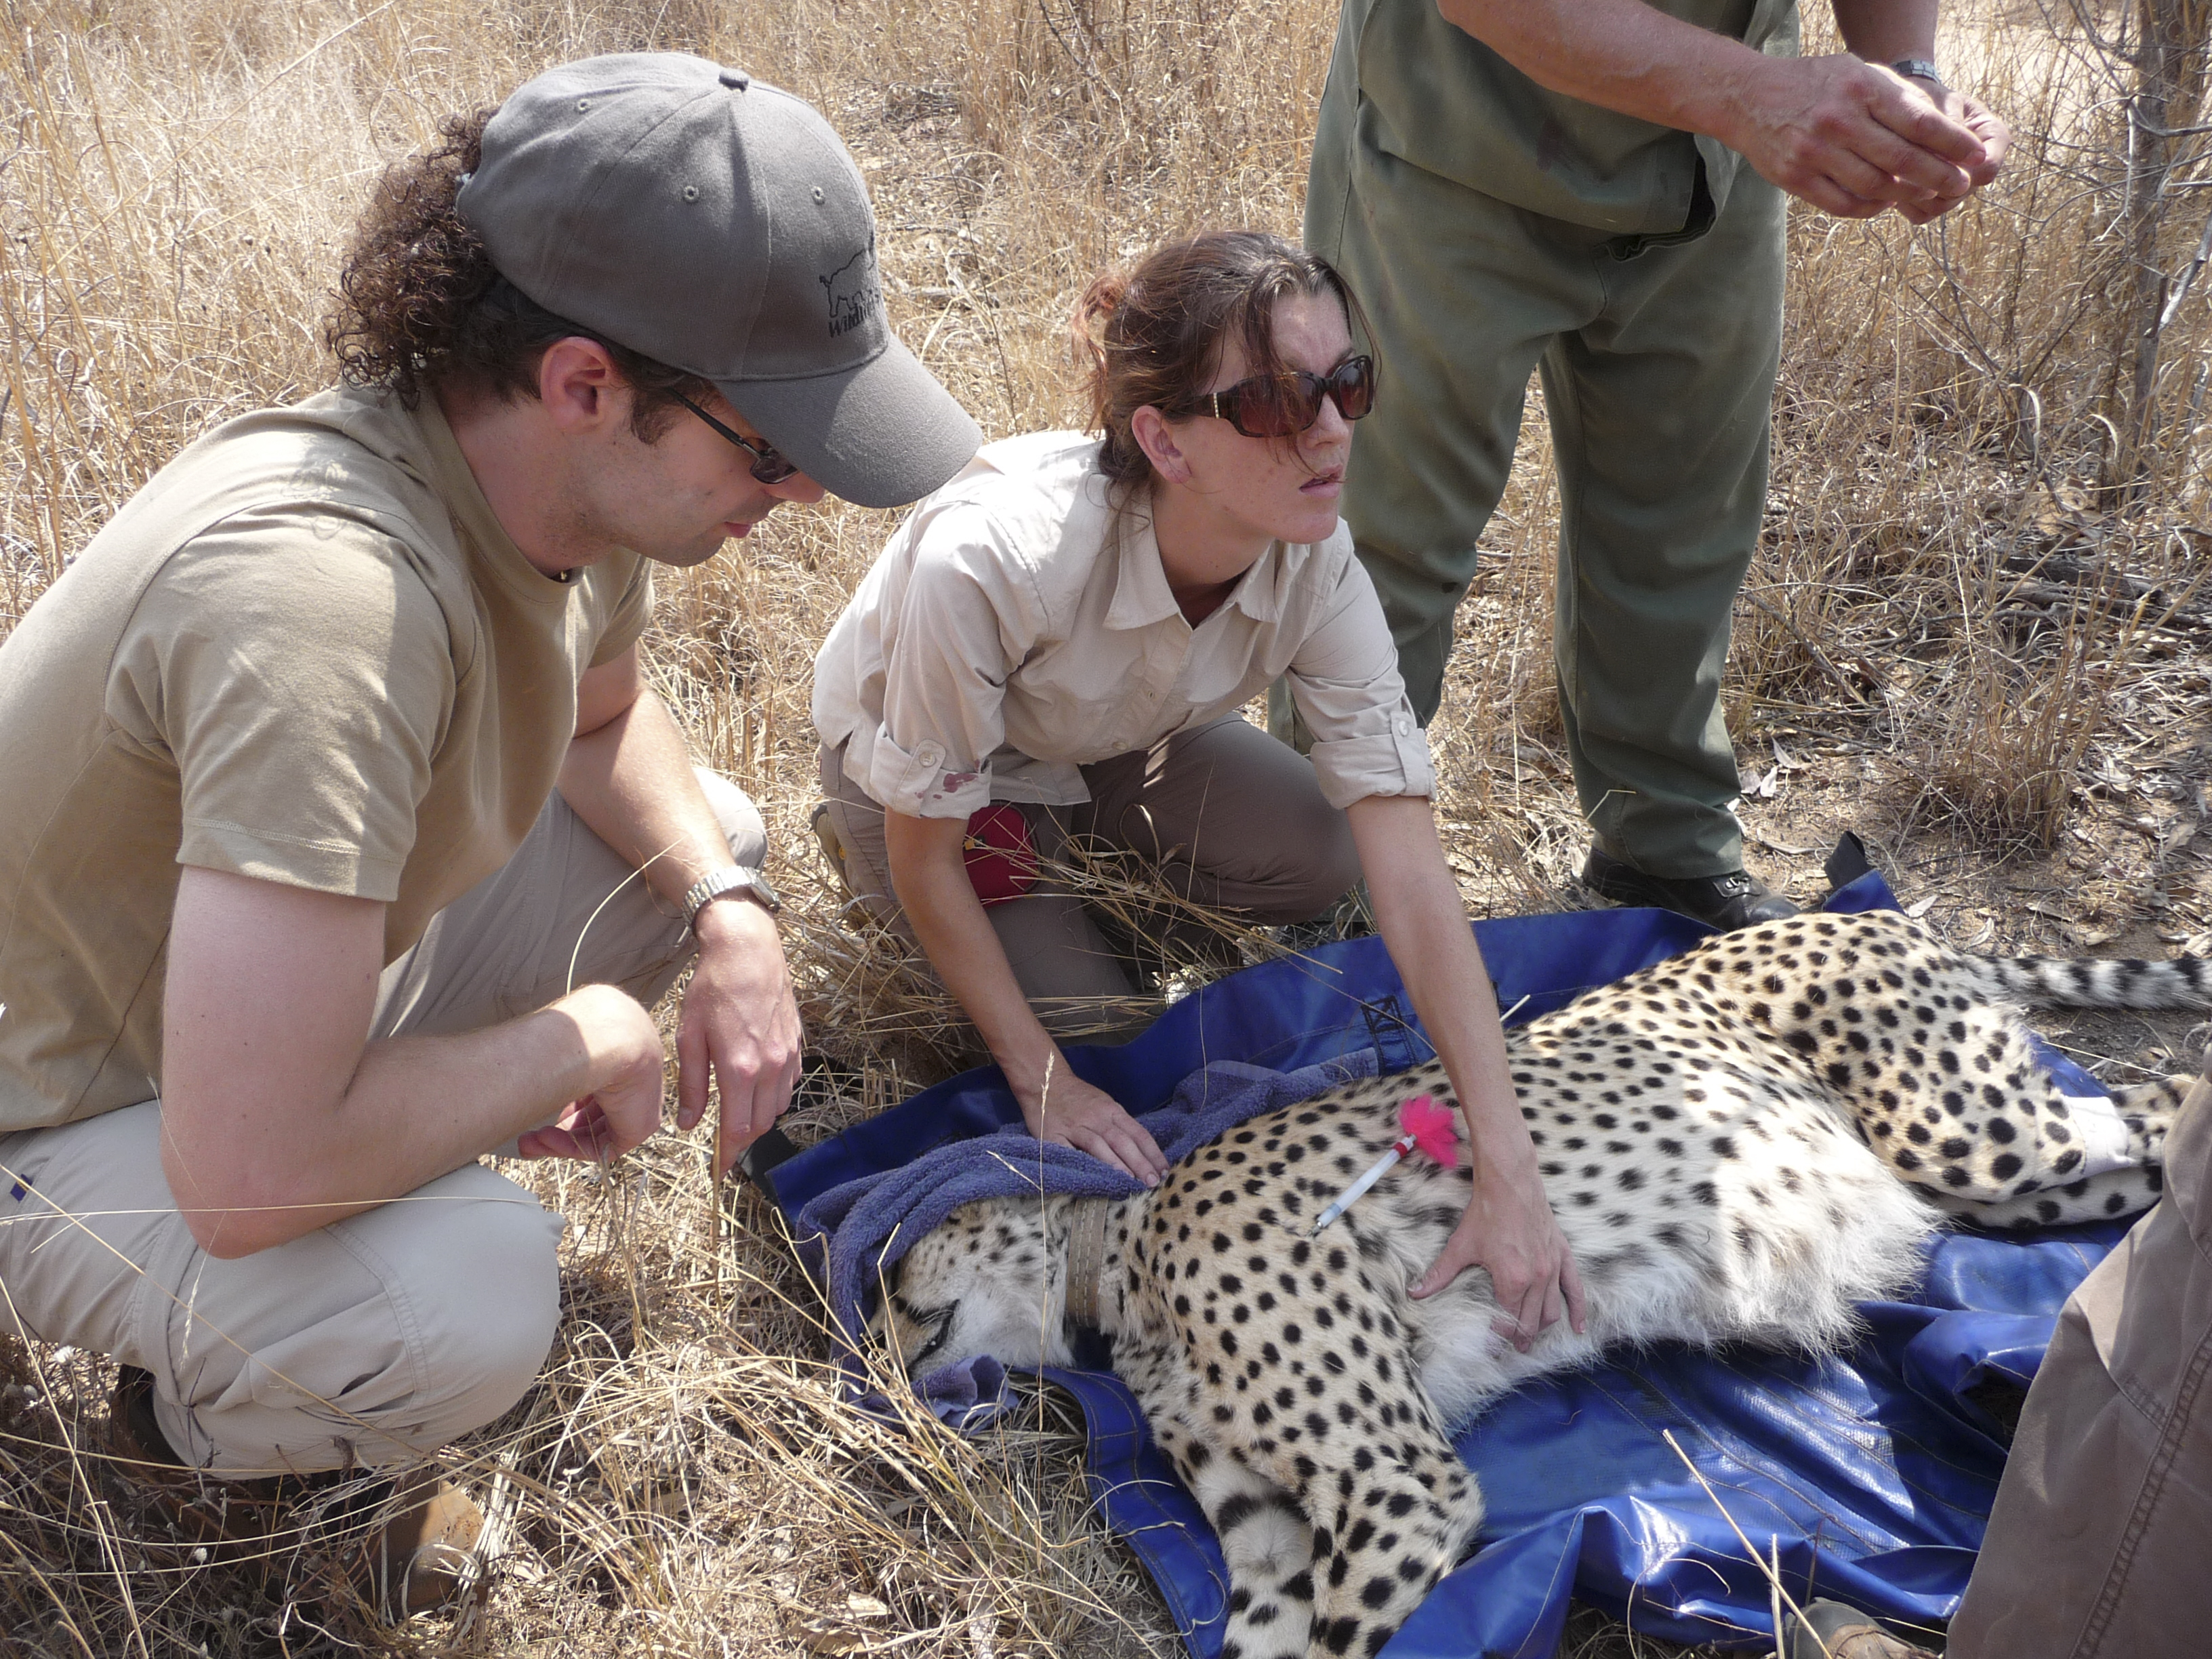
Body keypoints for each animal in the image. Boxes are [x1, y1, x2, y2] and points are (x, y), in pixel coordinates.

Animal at [874, 909, 2212, 1659]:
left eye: (892, 1260)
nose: (881, 1346)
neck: (1126, 1266)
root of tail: (1881, 916)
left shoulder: (1399, 1484)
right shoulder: (1263, 1540)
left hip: (1968, 1127)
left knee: (2172, 1094)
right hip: (2002, 1183)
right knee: (2138, 1139)